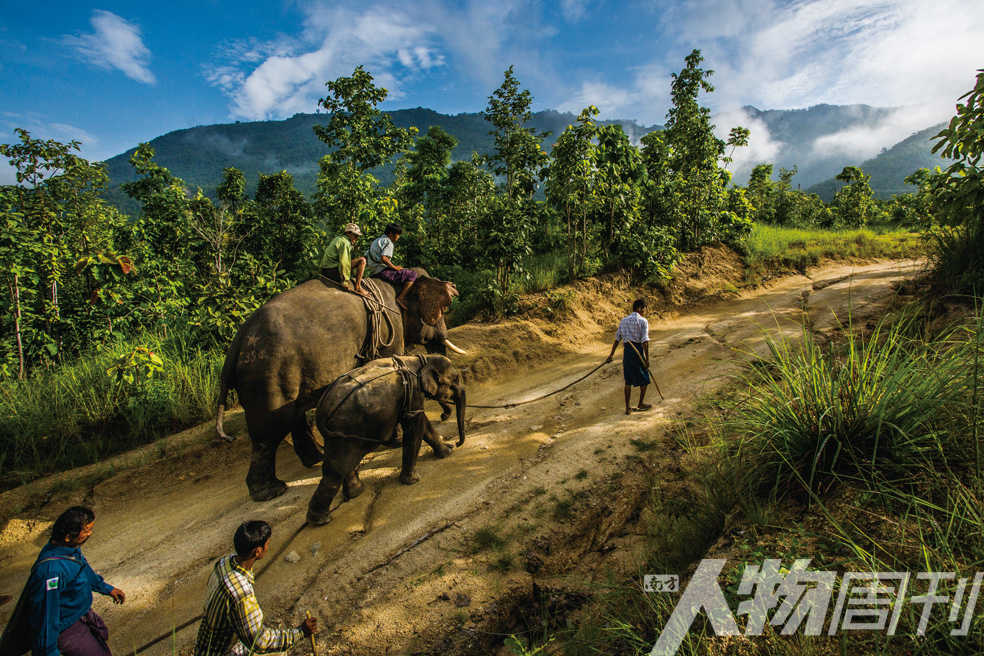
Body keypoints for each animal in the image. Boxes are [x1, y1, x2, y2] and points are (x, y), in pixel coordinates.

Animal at [217, 270, 464, 500]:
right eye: (440, 312)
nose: (444, 416)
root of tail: (236, 345)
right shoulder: (390, 330)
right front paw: (396, 440)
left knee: (293, 415)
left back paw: (316, 459)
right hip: (268, 375)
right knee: (269, 432)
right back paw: (272, 491)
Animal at [310, 352, 468, 524]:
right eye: (455, 380)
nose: (457, 443)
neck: (421, 359)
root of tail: (320, 412)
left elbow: (422, 422)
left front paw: (447, 451)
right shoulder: (413, 391)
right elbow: (415, 424)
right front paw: (413, 480)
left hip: (342, 434)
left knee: (343, 465)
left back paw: (355, 493)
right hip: (344, 429)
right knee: (336, 471)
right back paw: (321, 520)